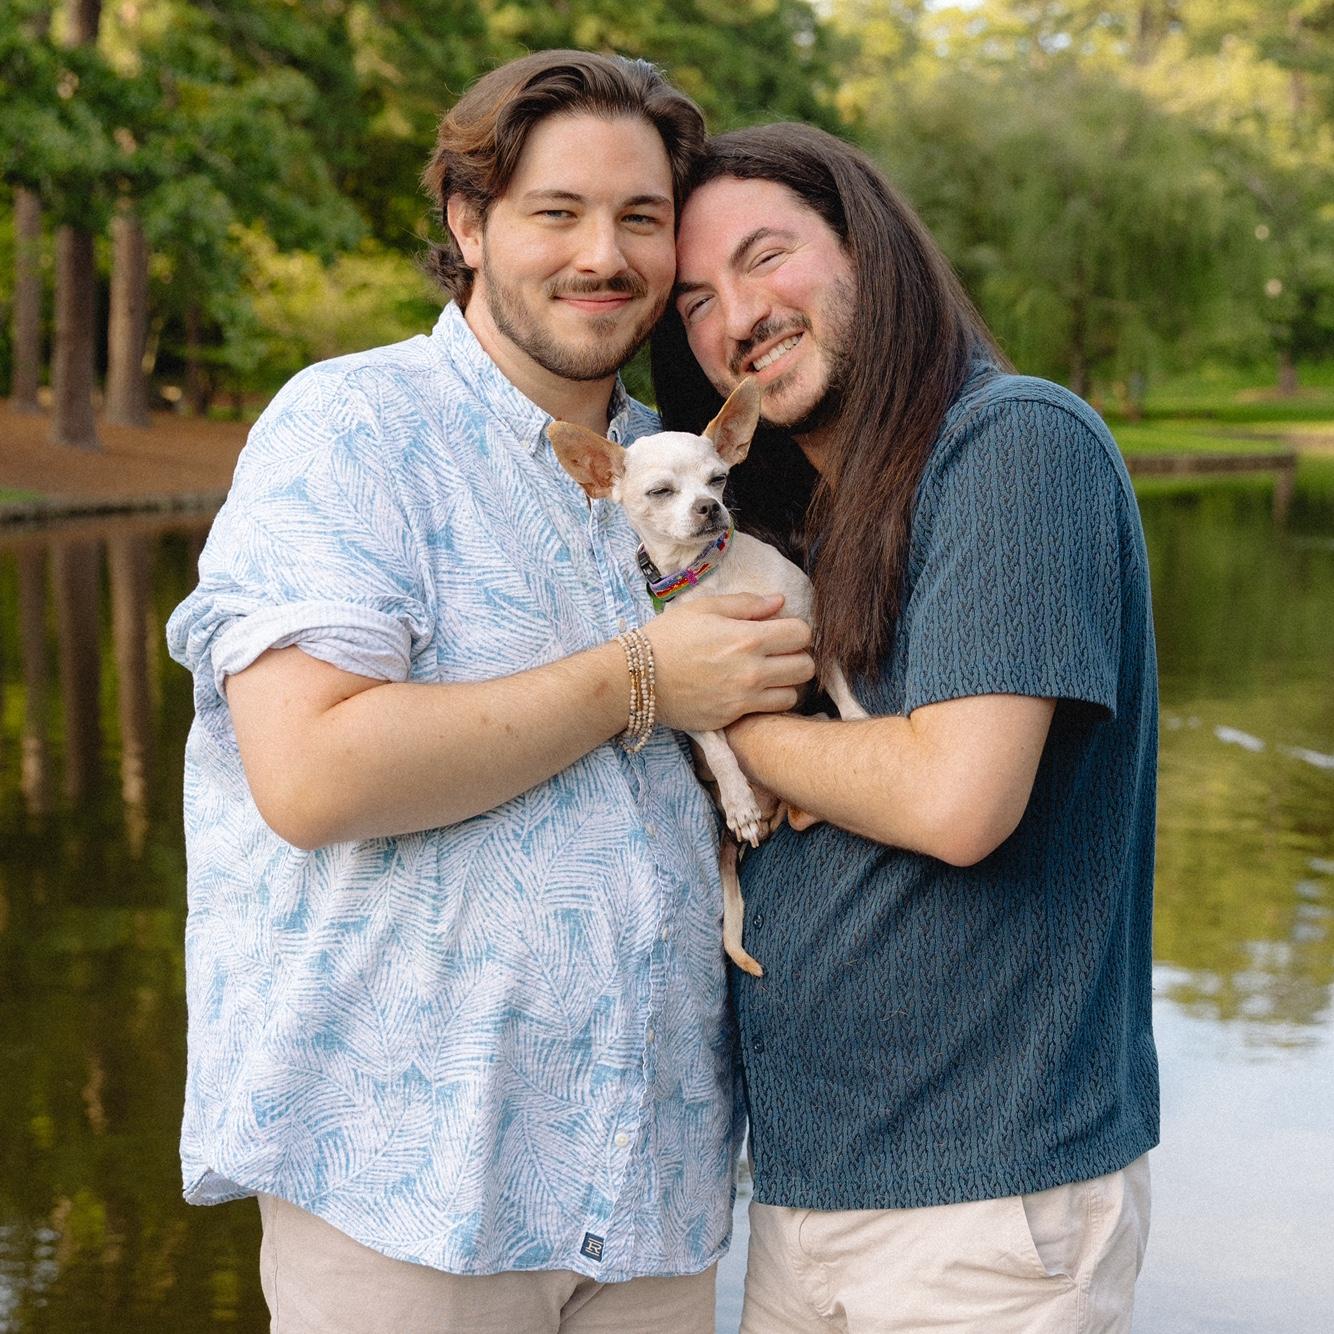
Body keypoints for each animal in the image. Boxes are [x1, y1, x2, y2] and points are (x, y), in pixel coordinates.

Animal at [548, 377, 867, 976]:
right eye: (659, 492)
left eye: (719, 479)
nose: (710, 507)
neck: (713, 580)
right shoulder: (693, 699)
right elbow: (718, 747)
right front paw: (738, 798)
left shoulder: (811, 629)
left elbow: (838, 680)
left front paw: (858, 717)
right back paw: (750, 811)